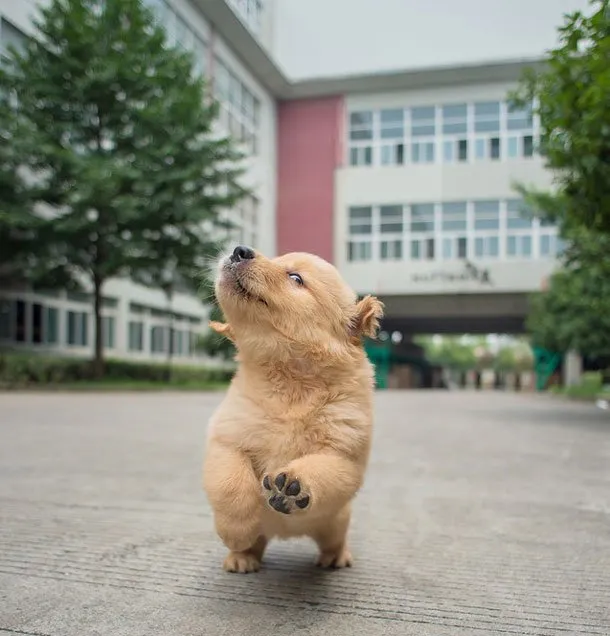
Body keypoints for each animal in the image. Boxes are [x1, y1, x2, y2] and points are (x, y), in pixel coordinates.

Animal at [202, 243, 382, 572]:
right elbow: (230, 485)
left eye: (296, 278)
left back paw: (335, 558)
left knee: (334, 539)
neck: (290, 380)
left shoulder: (344, 456)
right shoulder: (226, 439)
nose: (239, 250)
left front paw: (292, 485)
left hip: (336, 523)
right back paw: (242, 556)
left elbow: (321, 469)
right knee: (256, 542)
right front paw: (236, 533)